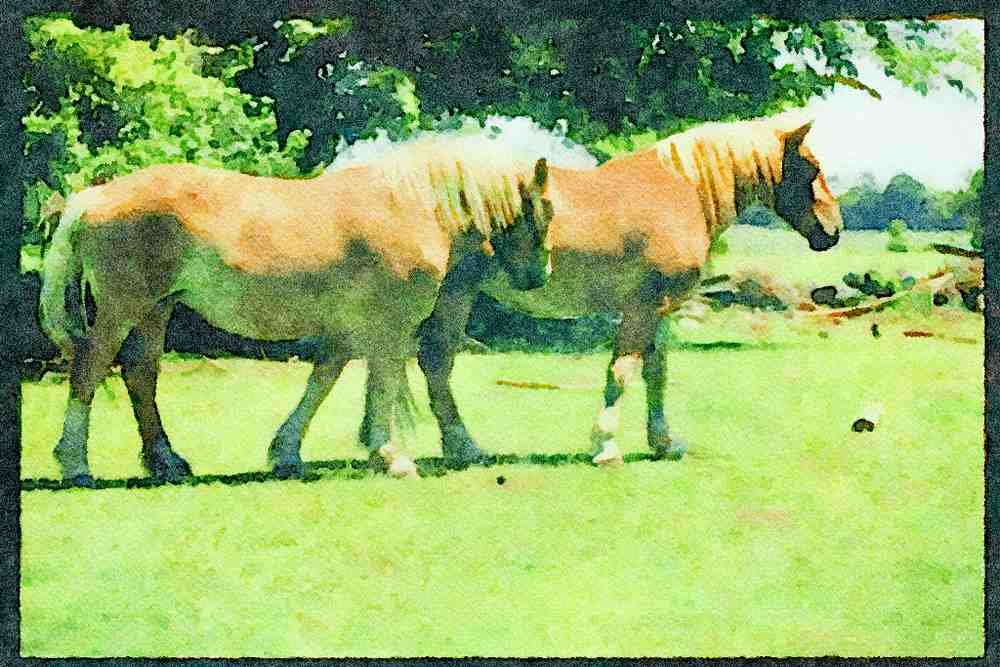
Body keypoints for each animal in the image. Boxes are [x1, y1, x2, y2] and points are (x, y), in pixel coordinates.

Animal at [39, 131, 553, 487]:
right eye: (543, 210)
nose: (538, 275)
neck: (406, 206)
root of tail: (93, 198)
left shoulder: (349, 329)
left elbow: (322, 382)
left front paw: (287, 452)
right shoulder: (389, 327)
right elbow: (382, 385)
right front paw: (391, 457)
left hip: (155, 310)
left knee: (140, 374)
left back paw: (167, 461)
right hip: (124, 308)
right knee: (89, 370)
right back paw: (76, 464)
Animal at [392, 114, 843, 467]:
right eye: (809, 169)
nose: (833, 231)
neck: (682, 189)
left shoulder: (660, 308)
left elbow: (656, 372)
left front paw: (663, 442)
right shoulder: (641, 307)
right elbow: (622, 371)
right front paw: (606, 445)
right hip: (455, 295)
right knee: (436, 361)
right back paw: (464, 447)